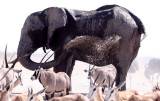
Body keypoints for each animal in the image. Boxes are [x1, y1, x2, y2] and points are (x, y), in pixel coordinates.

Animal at [16, 4, 146, 90]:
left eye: (32, 32)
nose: (73, 42)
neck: (47, 11)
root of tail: (135, 19)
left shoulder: (64, 35)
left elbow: (61, 65)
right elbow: (68, 66)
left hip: (125, 39)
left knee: (121, 70)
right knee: (122, 71)